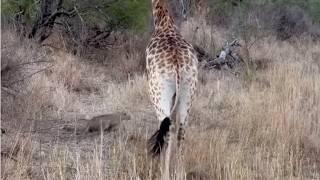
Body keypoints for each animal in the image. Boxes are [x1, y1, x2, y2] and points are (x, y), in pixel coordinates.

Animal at [146, 0, 198, 179]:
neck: (164, 23)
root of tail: (177, 65)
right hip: (188, 93)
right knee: (181, 131)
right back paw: (180, 173)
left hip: (159, 95)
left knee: (166, 130)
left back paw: (164, 174)